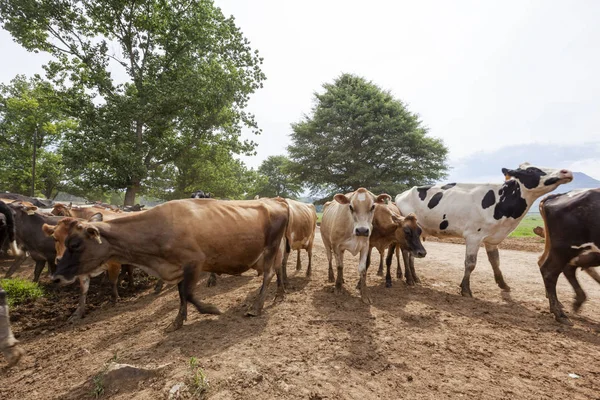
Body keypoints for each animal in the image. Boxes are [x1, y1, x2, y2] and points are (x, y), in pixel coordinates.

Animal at [49, 198, 288, 332]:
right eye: (59, 240)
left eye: (75, 244)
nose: (56, 277)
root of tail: (278, 203)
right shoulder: (179, 268)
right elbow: (182, 295)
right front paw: (177, 322)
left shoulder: (194, 262)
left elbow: (189, 294)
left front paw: (212, 309)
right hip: (273, 250)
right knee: (277, 270)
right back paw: (279, 295)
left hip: (271, 247)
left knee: (268, 274)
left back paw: (257, 307)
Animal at [396, 162, 576, 296]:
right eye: (532, 170)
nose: (566, 171)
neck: (501, 201)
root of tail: (402, 194)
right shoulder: (473, 236)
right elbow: (470, 263)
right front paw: (465, 289)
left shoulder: (492, 239)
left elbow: (495, 262)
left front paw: (503, 284)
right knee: (405, 252)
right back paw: (409, 279)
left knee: (412, 255)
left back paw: (415, 277)